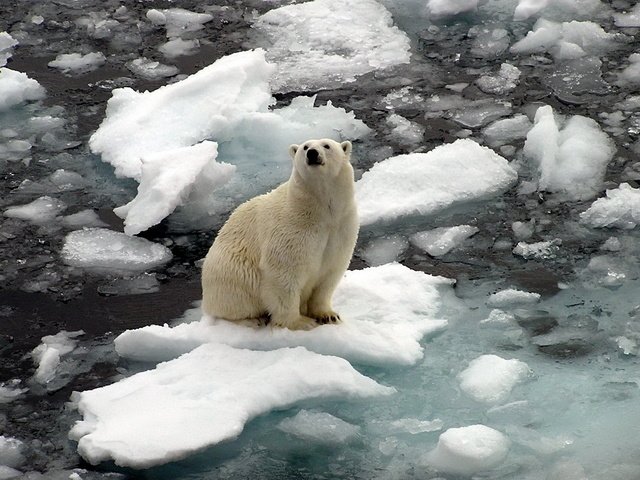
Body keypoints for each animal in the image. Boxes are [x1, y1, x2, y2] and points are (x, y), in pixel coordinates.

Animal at [201, 139, 358, 330]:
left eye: (326, 145)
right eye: (305, 147)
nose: (312, 153)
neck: (320, 212)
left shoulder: (341, 228)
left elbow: (329, 274)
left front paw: (328, 315)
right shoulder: (292, 229)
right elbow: (283, 274)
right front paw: (300, 322)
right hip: (230, 273)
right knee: (234, 300)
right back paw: (252, 319)